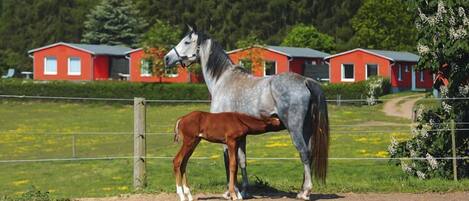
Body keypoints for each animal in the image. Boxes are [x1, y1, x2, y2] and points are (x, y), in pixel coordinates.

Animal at [165, 25, 330, 200]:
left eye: (186, 41)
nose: (166, 59)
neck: (222, 80)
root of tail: (305, 81)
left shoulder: (227, 138)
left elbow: (229, 162)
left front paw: (231, 192)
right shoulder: (241, 136)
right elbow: (242, 160)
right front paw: (244, 190)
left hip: (295, 129)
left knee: (303, 153)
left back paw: (306, 192)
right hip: (307, 129)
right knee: (309, 154)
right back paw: (301, 189)